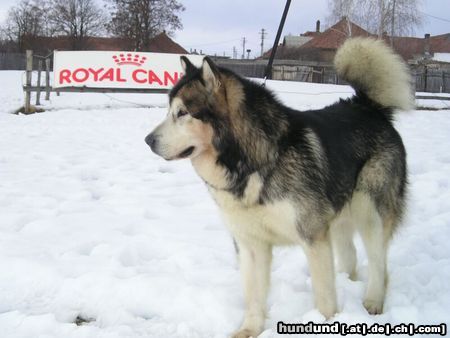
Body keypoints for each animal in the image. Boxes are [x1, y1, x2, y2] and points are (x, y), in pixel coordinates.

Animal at [146, 37, 414, 338]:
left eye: (182, 113)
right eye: (169, 111)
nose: (148, 140)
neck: (252, 163)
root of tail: (368, 106)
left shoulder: (313, 237)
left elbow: (324, 296)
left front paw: (326, 323)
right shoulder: (250, 243)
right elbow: (253, 296)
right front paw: (250, 329)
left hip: (370, 212)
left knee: (380, 264)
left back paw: (372, 302)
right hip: (338, 215)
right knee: (351, 255)